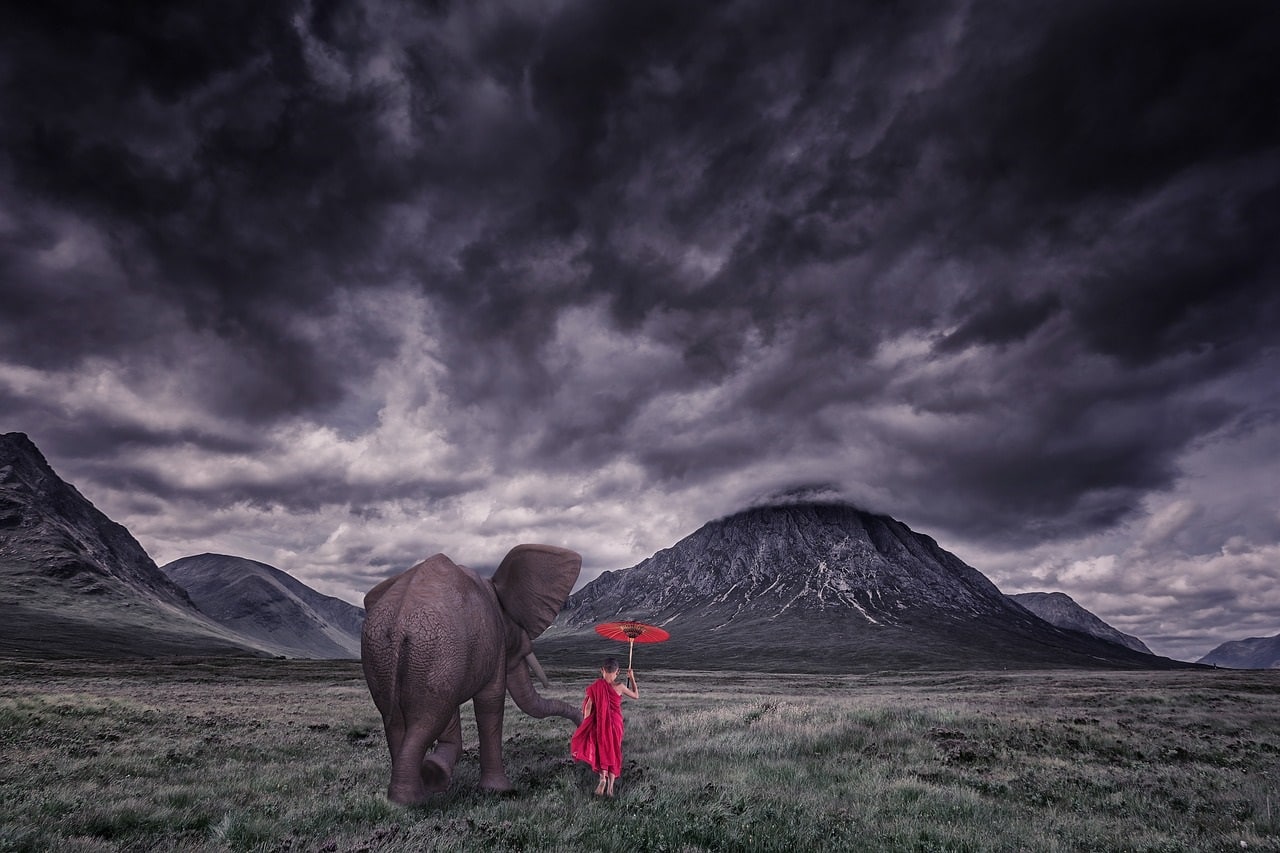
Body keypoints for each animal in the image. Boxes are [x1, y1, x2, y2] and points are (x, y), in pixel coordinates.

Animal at [358, 540, 583, 799]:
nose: (575, 751)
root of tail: (397, 625)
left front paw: (437, 773)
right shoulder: (492, 645)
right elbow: (490, 702)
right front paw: (498, 790)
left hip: (386, 654)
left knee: (397, 720)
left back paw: (415, 788)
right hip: (431, 650)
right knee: (425, 721)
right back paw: (409, 800)